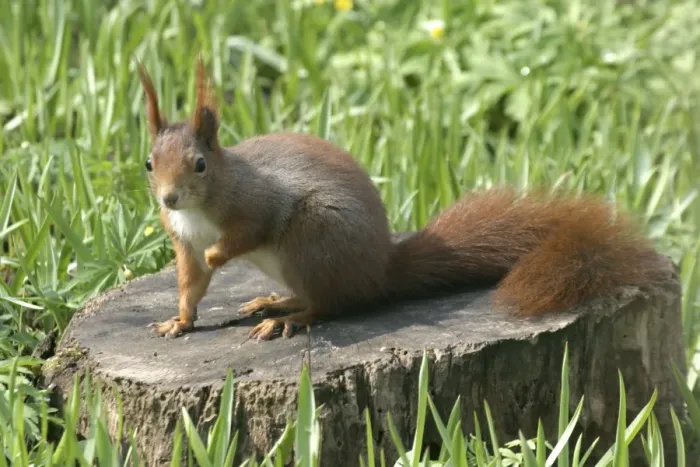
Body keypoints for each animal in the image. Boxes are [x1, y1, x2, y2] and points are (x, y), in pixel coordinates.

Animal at [137, 58, 668, 341]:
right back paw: (274, 300)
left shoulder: (255, 203)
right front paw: (178, 322)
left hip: (315, 239)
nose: (168, 198)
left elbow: (247, 233)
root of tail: (379, 271)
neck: (200, 210)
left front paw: (217, 254)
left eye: (199, 165)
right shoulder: (181, 240)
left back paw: (289, 317)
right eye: (148, 163)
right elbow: (191, 284)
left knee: (332, 305)